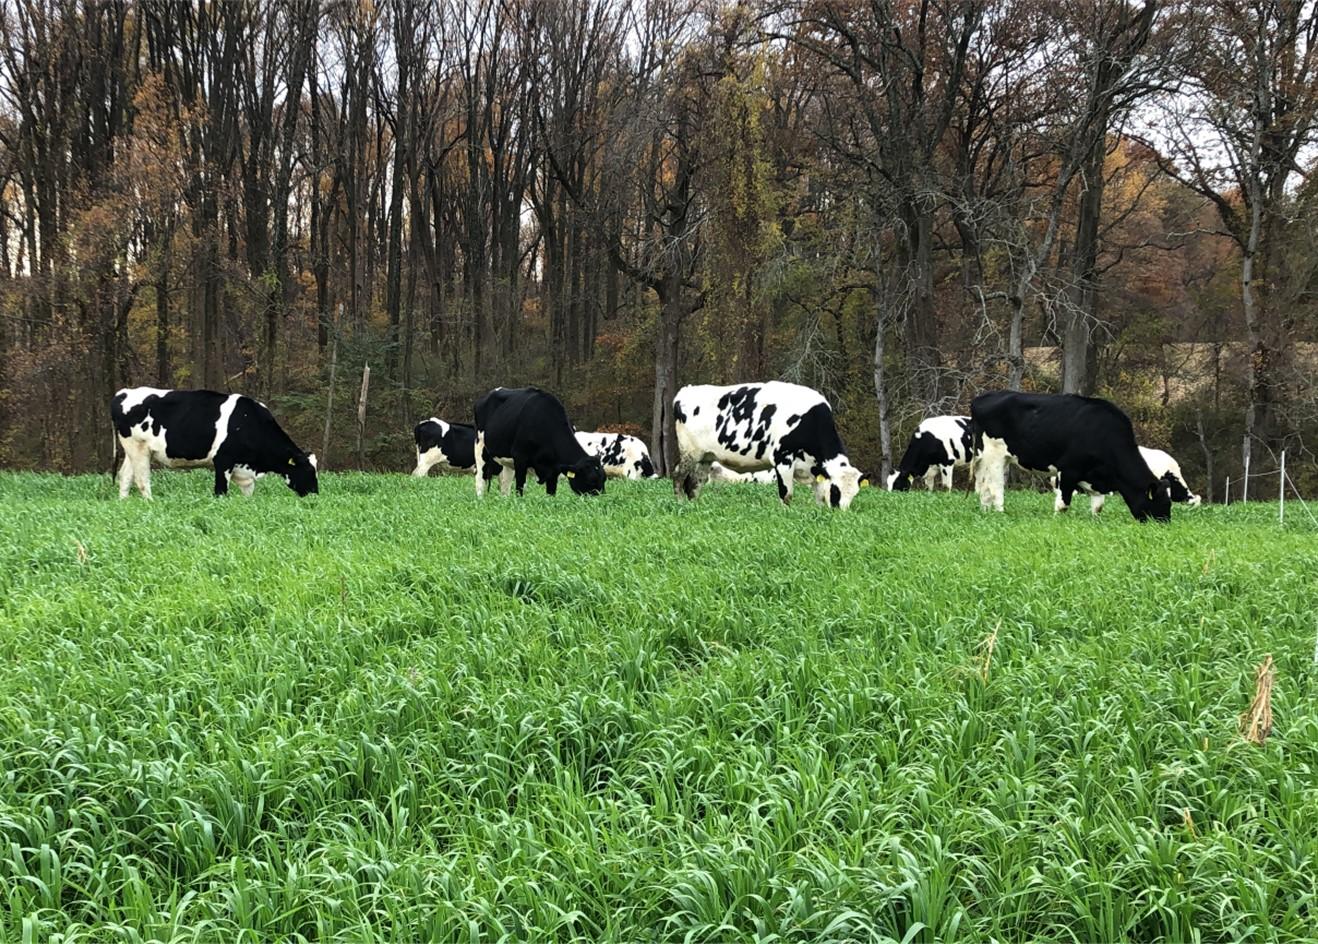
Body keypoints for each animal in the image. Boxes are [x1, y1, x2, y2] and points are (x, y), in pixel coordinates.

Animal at [111, 384, 318, 501]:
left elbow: (248, 493)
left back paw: (123, 503)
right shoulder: (223, 460)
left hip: (132, 450)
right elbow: (221, 491)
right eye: (308, 470)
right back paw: (150, 503)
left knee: (125, 475)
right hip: (138, 447)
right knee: (142, 479)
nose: (315, 495)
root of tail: (123, 392)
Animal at [474, 387, 606, 498]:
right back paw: (480, 498)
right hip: (480, 445)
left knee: (505, 482)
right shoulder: (520, 457)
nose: (601, 501)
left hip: (507, 459)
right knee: (480, 477)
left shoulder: (554, 468)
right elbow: (520, 487)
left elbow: (551, 492)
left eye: (604, 479)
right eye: (590, 481)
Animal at [674, 382, 869, 508]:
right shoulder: (783, 459)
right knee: (678, 475)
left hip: (706, 457)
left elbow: (820, 497)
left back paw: (695, 507)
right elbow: (786, 494)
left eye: (854, 493)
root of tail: (686, 390)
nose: (840, 513)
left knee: (695, 483)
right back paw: (680, 504)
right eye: (836, 491)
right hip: (690, 453)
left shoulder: (816, 469)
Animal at [970, 390, 1175, 524]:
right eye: (1159, 503)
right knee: (995, 487)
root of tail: (980, 398)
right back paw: (1000, 513)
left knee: (984, 488)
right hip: (994, 455)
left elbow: (1098, 506)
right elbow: (1063, 504)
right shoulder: (1068, 470)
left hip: (989, 458)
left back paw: (985, 512)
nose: (1165, 524)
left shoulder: (1096, 478)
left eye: (1169, 504)